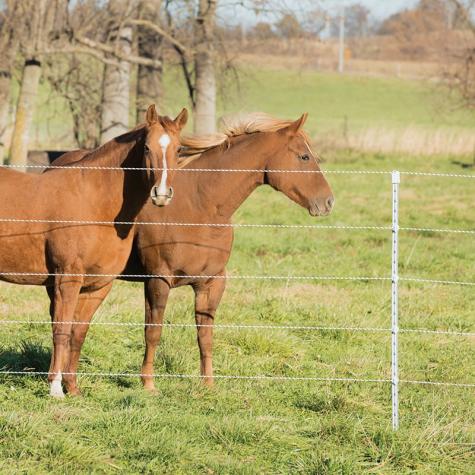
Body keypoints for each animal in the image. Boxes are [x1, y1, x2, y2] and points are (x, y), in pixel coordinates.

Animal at [0, 106, 190, 400]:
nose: (161, 194)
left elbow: (78, 333)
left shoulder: (97, 287)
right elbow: (61, 329)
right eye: (147, 148)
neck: (94, 202)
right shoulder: (67, 280)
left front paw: (73, 388)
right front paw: (55, 388)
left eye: (179, 149)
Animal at [52, 112, 334, 394]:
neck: (201, 206)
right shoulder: (158, 281)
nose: (328, 201)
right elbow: (153, 332)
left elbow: (205, 336)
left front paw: (208, 384)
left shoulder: (211, 283)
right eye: (304, 157)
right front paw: (148, 383)